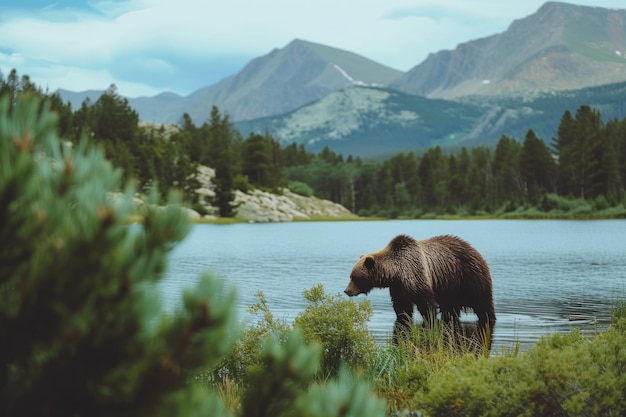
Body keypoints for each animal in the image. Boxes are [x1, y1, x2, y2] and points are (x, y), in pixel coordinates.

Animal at [344, 234, 494, 348]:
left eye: (355, 277)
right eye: (351, 276)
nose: (346, 291)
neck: (396, 273)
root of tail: (473, 249)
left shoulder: (416, 273)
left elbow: (426, 303)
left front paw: (430, 321)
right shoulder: (398, 288)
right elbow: (402, 307)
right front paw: (402, 319)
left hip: (468, 277)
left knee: (483, 302)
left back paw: (489, 318)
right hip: (450, 288)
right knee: (451, 309)